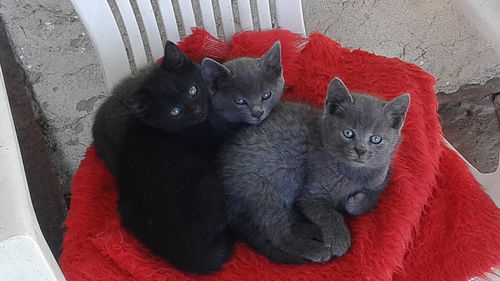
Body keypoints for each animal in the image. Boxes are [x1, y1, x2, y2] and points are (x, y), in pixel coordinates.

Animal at [219, 77, 410, 264]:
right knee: (279, 234)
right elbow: (328, 213)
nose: (360, 150)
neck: (352, 173)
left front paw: (355, 203)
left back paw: (313, 231)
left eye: (376, 139)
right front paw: (339, 239)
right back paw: (315, 248)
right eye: (348, 133)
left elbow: (373, 197)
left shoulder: (381, 176)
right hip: (268, 187)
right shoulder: (311, 194)